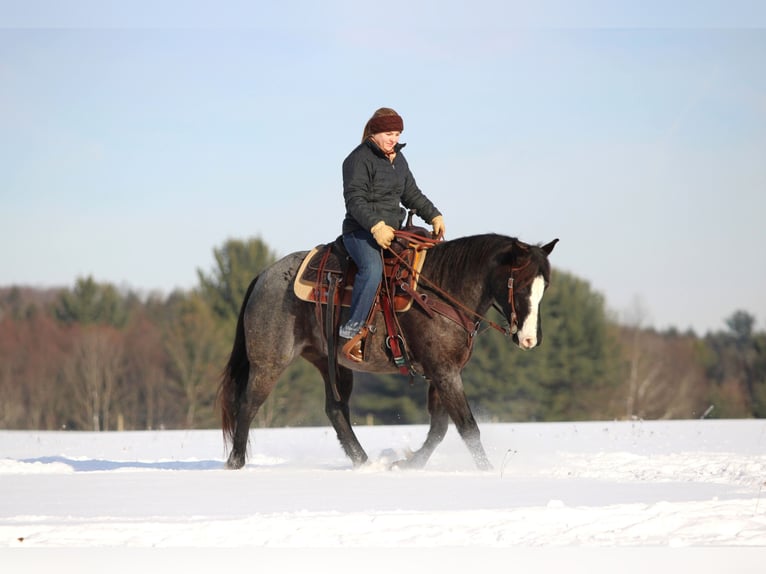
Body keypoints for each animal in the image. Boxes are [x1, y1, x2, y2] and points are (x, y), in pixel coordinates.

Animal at [219, 233, 558, 470]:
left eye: (545, 287)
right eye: (521, 285)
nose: (530, 339)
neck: (442, 291)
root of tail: (264, 276)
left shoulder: (442, 373)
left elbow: (439, 428)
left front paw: (408, 463)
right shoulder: (445, 372)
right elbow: (467, 426)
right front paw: (487, 471)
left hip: (330, 363)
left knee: (336, 410)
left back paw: (364, 463)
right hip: (269, 362)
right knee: (247, 405)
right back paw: (235, 463)